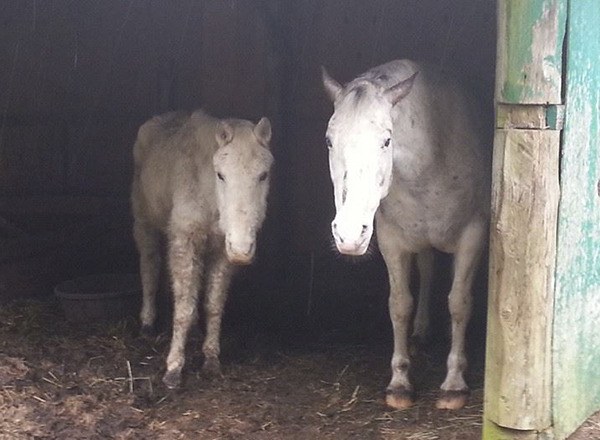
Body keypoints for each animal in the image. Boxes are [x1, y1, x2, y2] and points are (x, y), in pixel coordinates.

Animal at [132, 111, 274, 388]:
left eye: (263, 175)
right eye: (221, 175)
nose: (242, 250)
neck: (210, 196)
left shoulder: (221, 251)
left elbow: (213, 304)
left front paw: (210, 359)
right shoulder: (185, 241)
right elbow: (183, 308)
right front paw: (173, 369)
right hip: (145, 224)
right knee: (149, 268)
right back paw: (147, 322)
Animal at [322, 59, 490, 410]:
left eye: (386, 140)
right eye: (330, 140)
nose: (348, 235)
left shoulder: (473, 236)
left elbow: (459, 302)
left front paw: (454, 383)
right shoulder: (392, 241)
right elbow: (399, 304)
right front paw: (399, 383)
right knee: (426, 268)